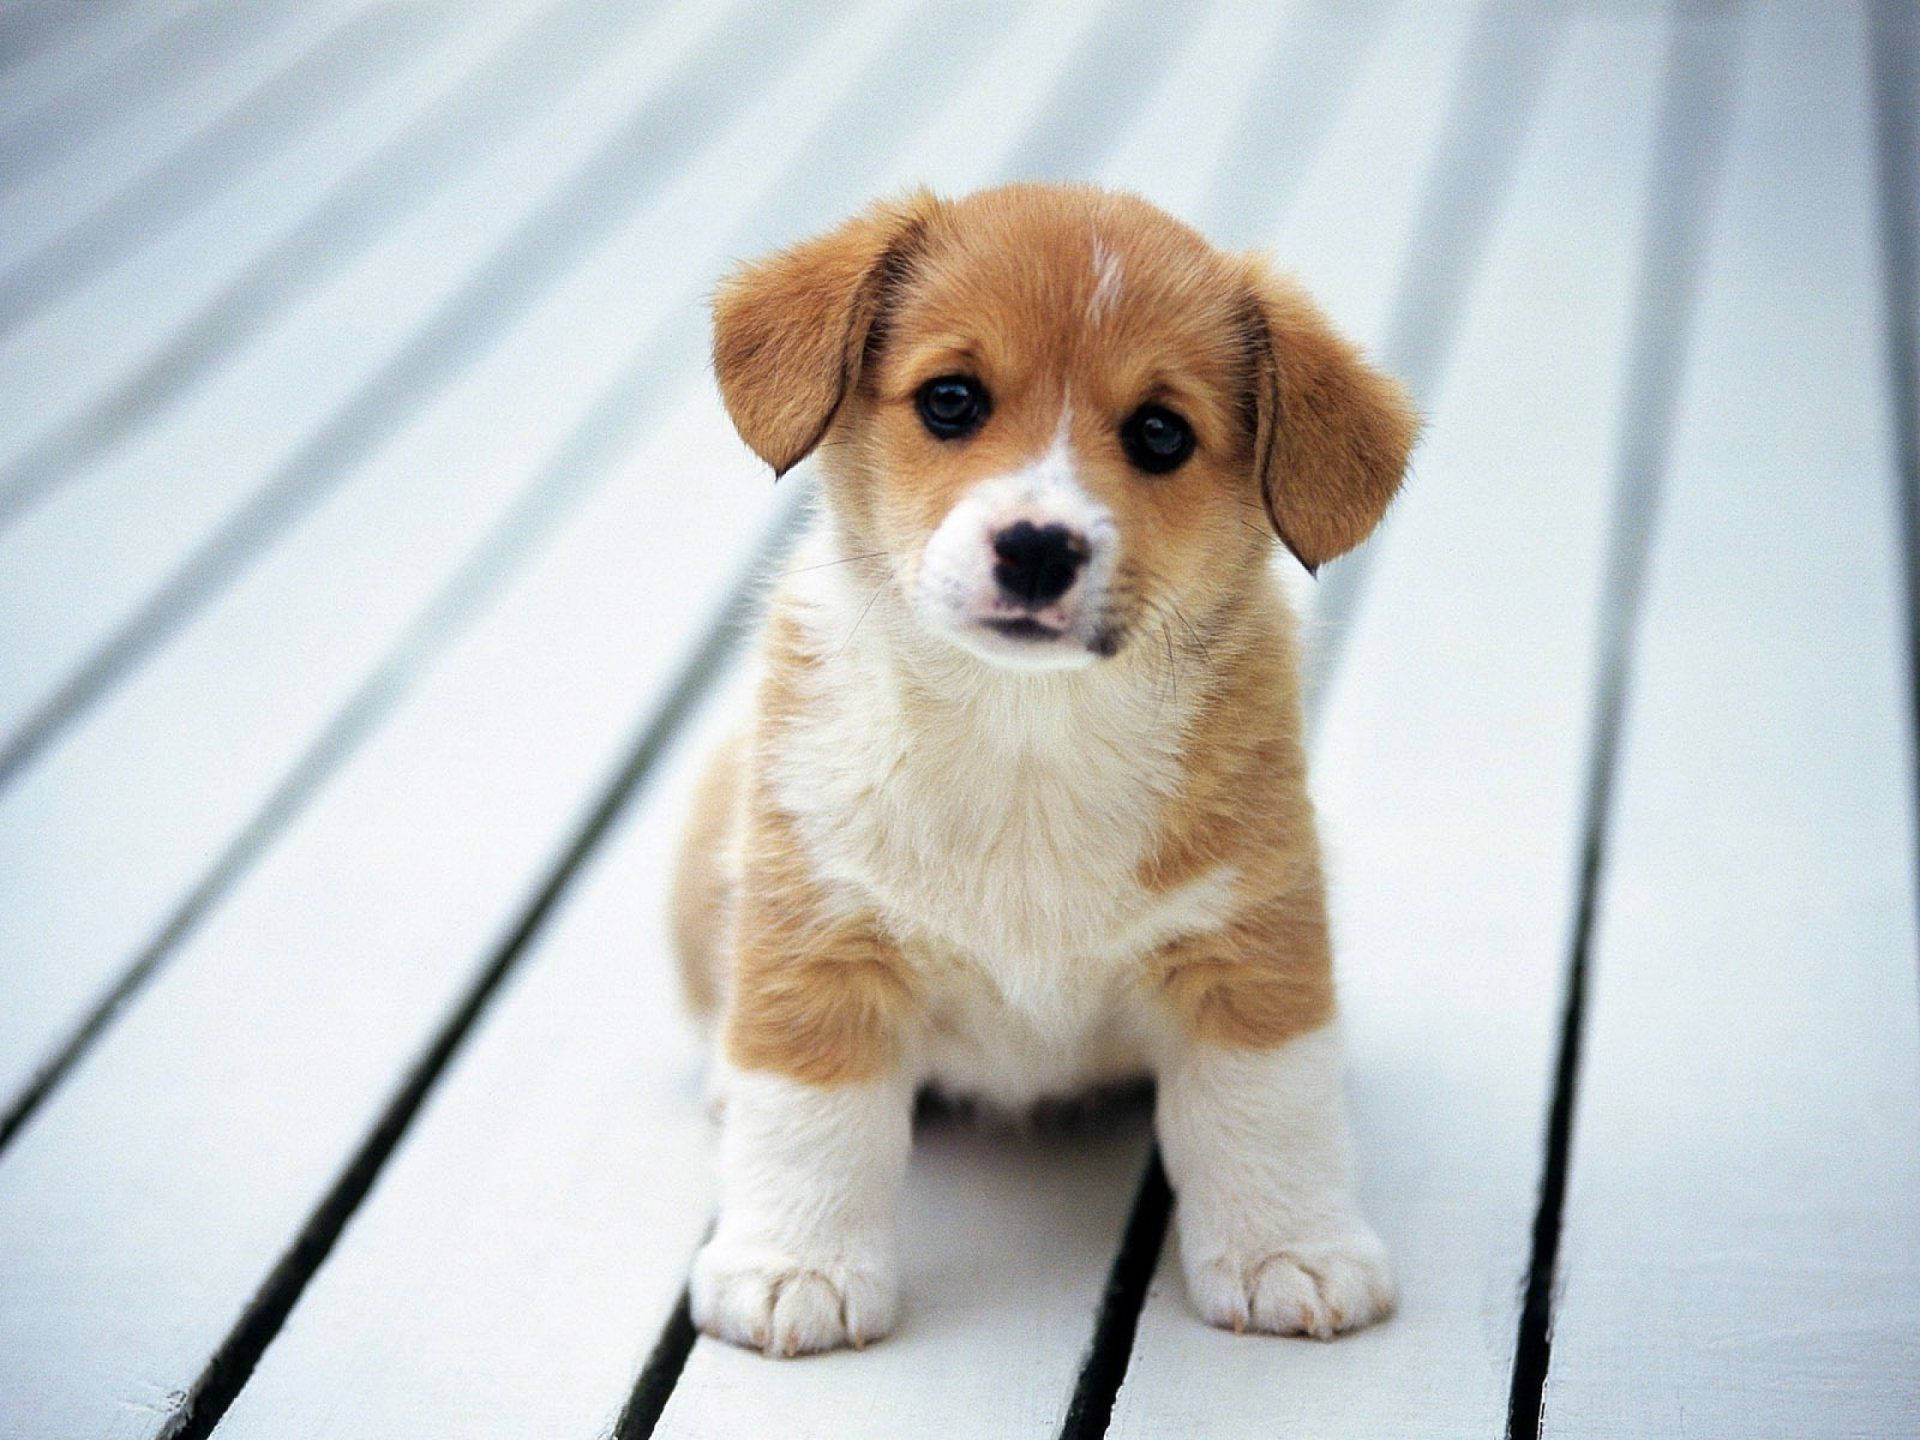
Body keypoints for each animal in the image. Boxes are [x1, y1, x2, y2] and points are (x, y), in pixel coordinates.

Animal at [672, 183, 1413, 1367]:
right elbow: (808, 1119)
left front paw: (1289, 1251)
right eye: (951, 399)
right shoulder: (822, 932)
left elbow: (1266, 1111)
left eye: (1160, 432)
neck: (1027, 730)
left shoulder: (1249, 942)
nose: (1035, 547)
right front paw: (795, 1267)